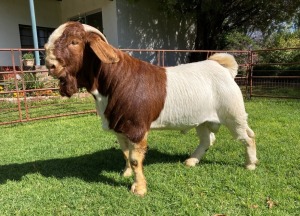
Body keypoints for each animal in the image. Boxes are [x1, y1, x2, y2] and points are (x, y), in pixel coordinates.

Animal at [44, 21, 258, 196]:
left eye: (74, 42)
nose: (49, 65)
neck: (115, 80)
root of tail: (222, 68)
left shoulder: (136, 128)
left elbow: (135, 158)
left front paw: (139, 188)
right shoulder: (120, 127)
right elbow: (125, 153)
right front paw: (126, 173)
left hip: (233, 113)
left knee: (248, 136)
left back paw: (250, 164)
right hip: (203, 119)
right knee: (207, 139)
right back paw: (191, 161)